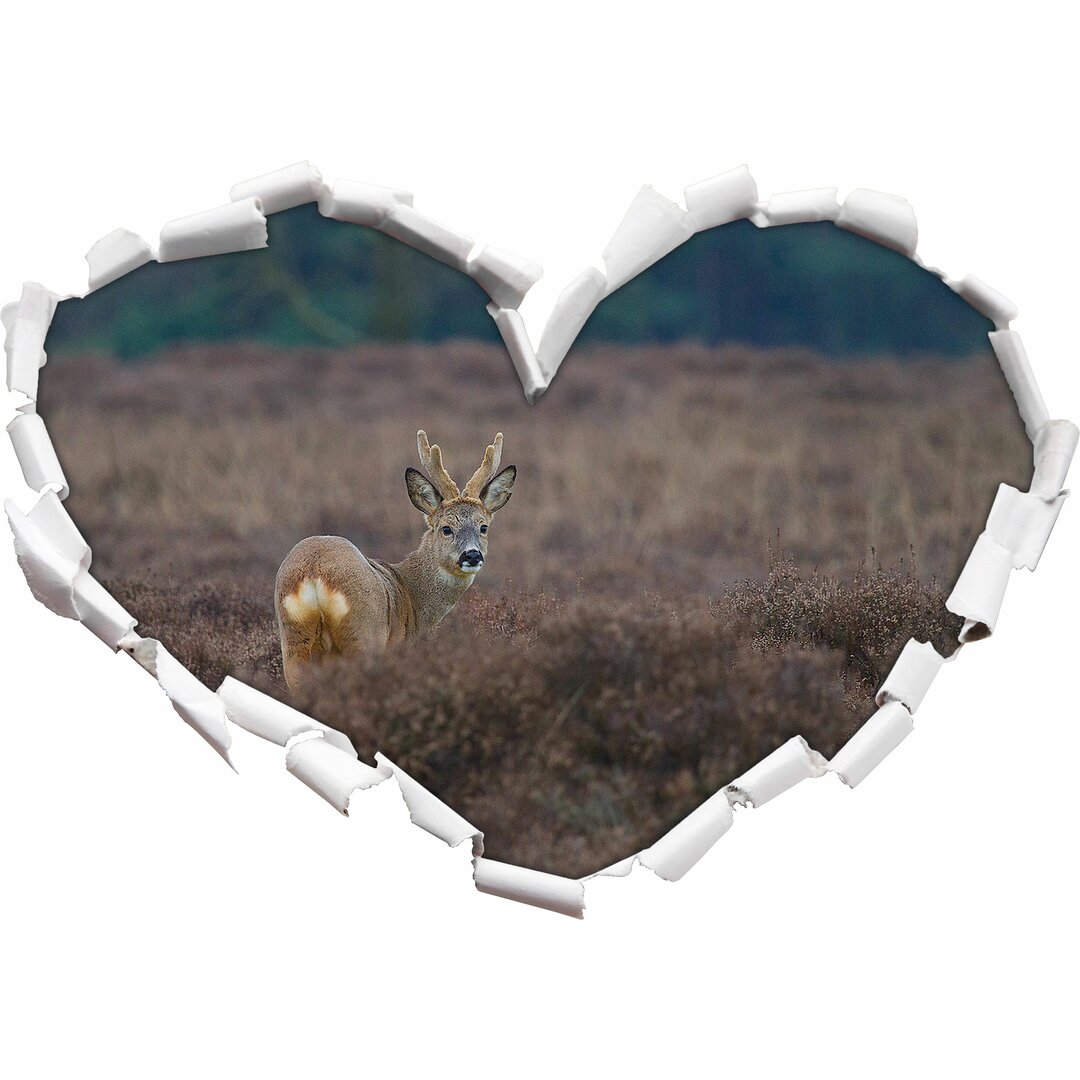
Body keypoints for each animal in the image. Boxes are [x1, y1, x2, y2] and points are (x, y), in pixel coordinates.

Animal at [276, 427, 516, 686]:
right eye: (446, 529)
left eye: (483, 527)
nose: (472, 555)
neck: (412, 596)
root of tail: (315, 573)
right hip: (364, 634)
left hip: (294, 642)